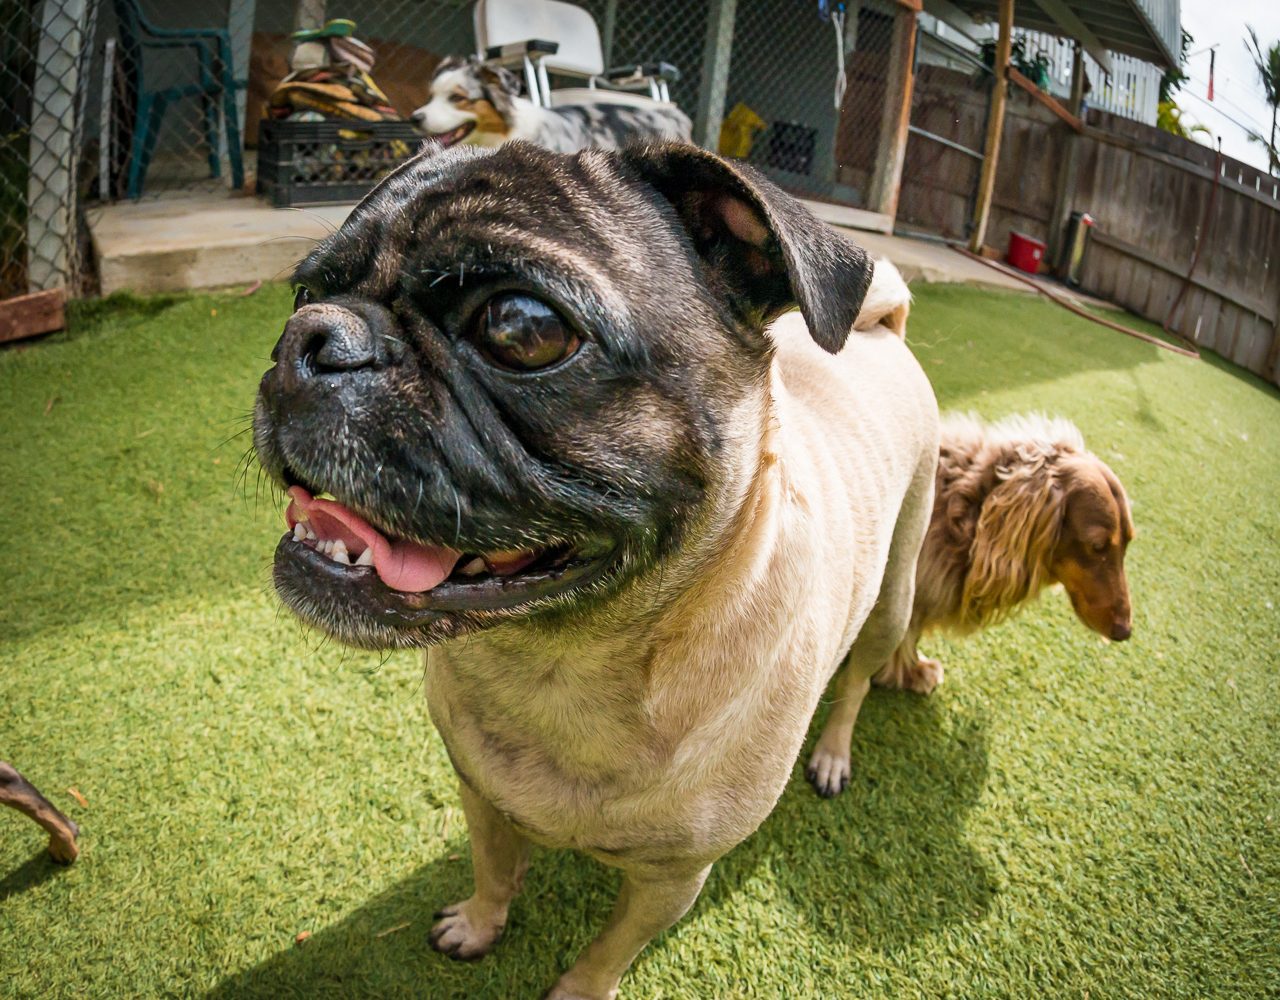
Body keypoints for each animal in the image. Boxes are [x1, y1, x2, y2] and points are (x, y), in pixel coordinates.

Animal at [253, 140, 938, 999]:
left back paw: (835, 754)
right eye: (306, 292)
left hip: (895, 594)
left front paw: (579, 989)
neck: (559, 659)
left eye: (521, 328)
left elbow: (612, 947)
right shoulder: (479, 795)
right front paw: (479, 923)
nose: (308, 337)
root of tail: (886, 331)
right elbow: (495, 870)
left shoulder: (671, 881)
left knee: (858, 681)